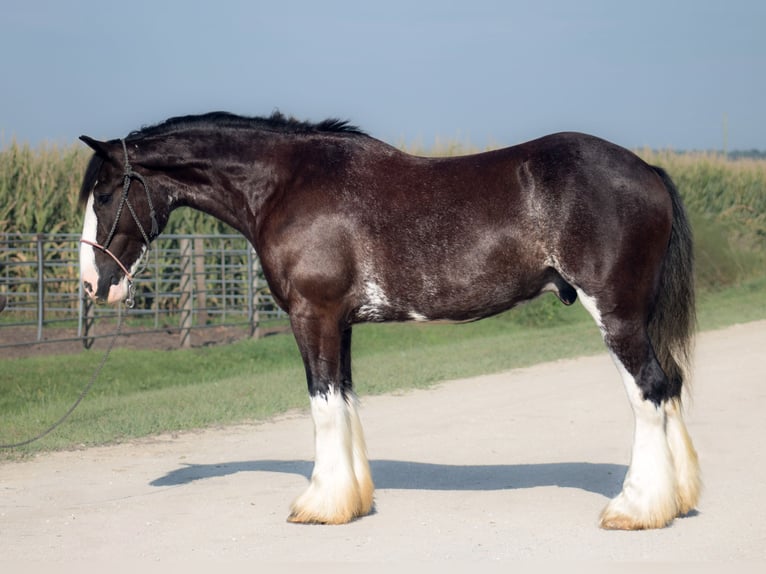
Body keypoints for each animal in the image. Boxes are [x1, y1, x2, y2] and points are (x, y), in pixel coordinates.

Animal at [78, 111, 700, 529]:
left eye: (104, 194)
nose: (92, 284)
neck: (288, 185)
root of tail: (647, 170)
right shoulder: (342, 322)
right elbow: (345, 400)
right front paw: (352, 500)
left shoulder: (313, 315)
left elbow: (323, 404)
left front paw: (319, 505)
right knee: (669, 385)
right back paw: (679, 497)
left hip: (616, 316)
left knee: (649, 390)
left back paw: (636, 508)